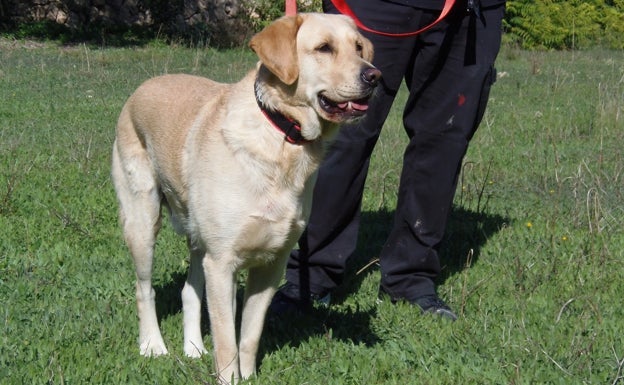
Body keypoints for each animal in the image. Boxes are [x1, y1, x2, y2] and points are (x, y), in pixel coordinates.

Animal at [112, 12, 380, 384]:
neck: (282, 136)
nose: (375, 76)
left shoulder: (271, 265)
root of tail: (143, 86)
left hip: (199, 239)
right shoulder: (223, 264)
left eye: (358, 48)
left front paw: (249, 375)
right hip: (143, 222)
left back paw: (193, 348)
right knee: (144, 289)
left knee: (189, 291)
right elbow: (227, 342)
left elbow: (249, 336)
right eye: (324, 48)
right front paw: (229, 377)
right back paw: (152, 345)